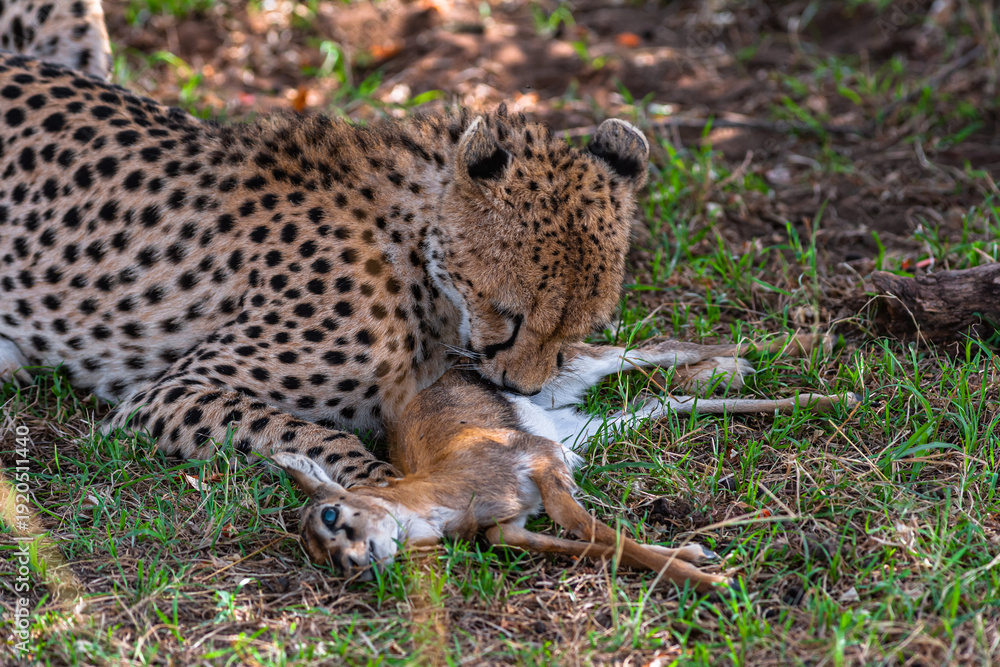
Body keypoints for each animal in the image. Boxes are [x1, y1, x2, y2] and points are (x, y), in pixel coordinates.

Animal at [0, 1, 651, 489]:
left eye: (577, 328)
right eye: (509, 315)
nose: (523, 391)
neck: (416, 251)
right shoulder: (165, 394)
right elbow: (309, 430)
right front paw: (381, 489)